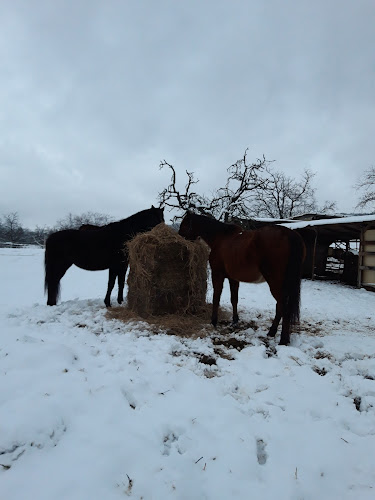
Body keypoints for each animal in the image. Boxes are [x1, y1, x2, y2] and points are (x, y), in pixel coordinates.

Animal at [178, 213, 306, 346]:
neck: (220, 238)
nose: (180, 238)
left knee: (283, 308)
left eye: (184, 225)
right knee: (280, 306)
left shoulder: (217, 275)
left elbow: (216, 298)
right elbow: (234, 299)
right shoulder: (233, 278)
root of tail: (289, 234)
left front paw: (213, 321)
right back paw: (272, 332)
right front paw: (235, 321)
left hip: (275, 282)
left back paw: (283, 340)